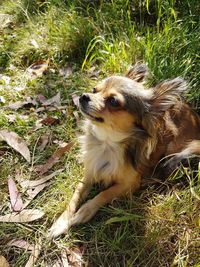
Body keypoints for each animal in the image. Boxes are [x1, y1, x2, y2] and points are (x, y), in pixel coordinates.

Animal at [48, 64, 200, 239]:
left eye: (113, 101)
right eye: (94, 90)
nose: (84, 96)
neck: (107, 143)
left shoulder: (129, 184)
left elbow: (104, 194)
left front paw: (83, 212)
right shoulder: (89, 174)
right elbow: (75, 196)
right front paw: (61, 222)